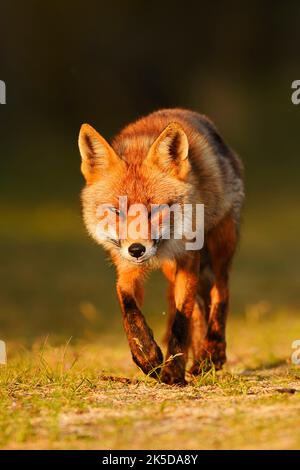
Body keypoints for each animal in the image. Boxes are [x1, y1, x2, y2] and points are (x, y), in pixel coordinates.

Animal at [79, 109, 244, 386]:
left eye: (154, 210)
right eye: (117, 211)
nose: (137, 249)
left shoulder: (188, 259)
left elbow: (180, 320)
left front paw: (173, 372)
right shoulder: (126, 267)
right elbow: (128, 308)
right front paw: (146, 355)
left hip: (222, 241)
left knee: (220, 292)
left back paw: (213, 353)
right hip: (172, 268)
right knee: (200, 306)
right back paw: (199, 359)